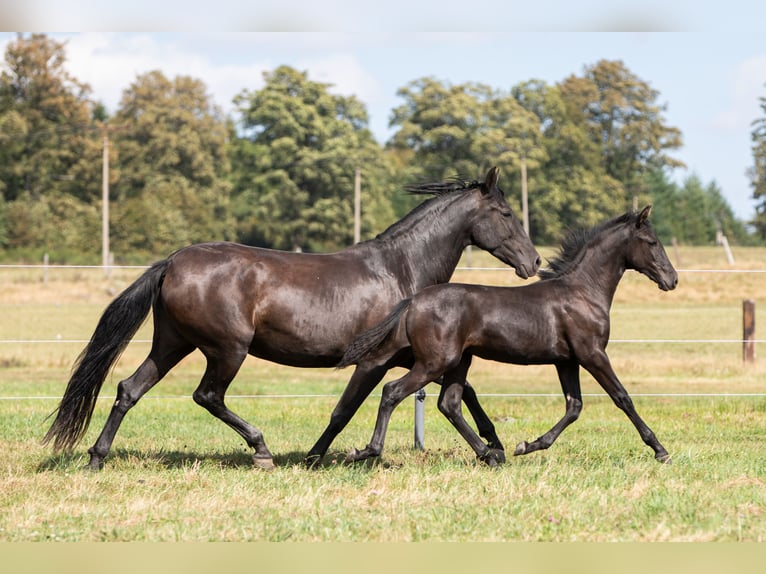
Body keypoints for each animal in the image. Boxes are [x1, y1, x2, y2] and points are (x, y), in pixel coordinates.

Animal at [45, 168, 544, 472]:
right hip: (227, 350)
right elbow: (345, 410)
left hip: (172, 344)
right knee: (207, 395)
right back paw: (261, 450)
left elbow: (465, 393)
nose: (534, 261)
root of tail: (172, 261)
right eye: (505, 213)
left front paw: (497, 443)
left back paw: (96, 456)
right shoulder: (377, 361)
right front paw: (318, 456)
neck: (401, 269)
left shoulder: (416, 357)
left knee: (129, 389)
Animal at [340, 207, 680, 468]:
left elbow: (573, 406)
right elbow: (622, 398)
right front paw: (660, 450)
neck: (582, 292)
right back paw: (367, 450)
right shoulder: (592, 354)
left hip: (459, 361)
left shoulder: (566, 361)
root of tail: (413, 301)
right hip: (434, 362)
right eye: (652, 242)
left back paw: (490, 454)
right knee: (393, 391)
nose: (672, 279)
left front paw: (527, 445)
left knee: (449, 404)